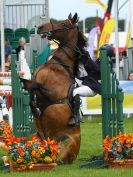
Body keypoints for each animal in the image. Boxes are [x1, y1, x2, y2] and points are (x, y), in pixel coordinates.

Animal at [23, 13, 87, 164]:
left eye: (63, 24)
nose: (41, 27)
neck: (58, 65)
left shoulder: (50, 90)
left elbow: (36, 86)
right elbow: (31, 89)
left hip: (63, 143)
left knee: (56, 160)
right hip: (36, 137)